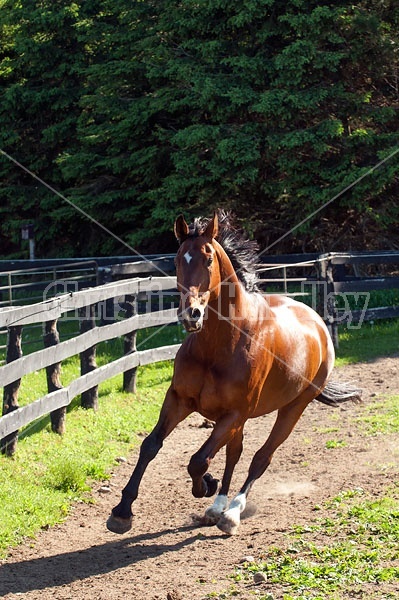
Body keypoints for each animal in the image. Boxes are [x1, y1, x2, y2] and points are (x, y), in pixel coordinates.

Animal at [108, 210, 360, 536]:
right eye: (176, 260)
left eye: (209, 259)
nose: (191, 315)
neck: (220, 345)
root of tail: (318, 323)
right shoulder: (179, 400)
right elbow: (151, 446)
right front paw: (122, 511)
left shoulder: (234, 413)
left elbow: (198, 460)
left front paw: (205, 485)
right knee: (233, 454)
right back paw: (217, 506)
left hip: (293, 408)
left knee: (260, 458)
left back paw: (232, 512)